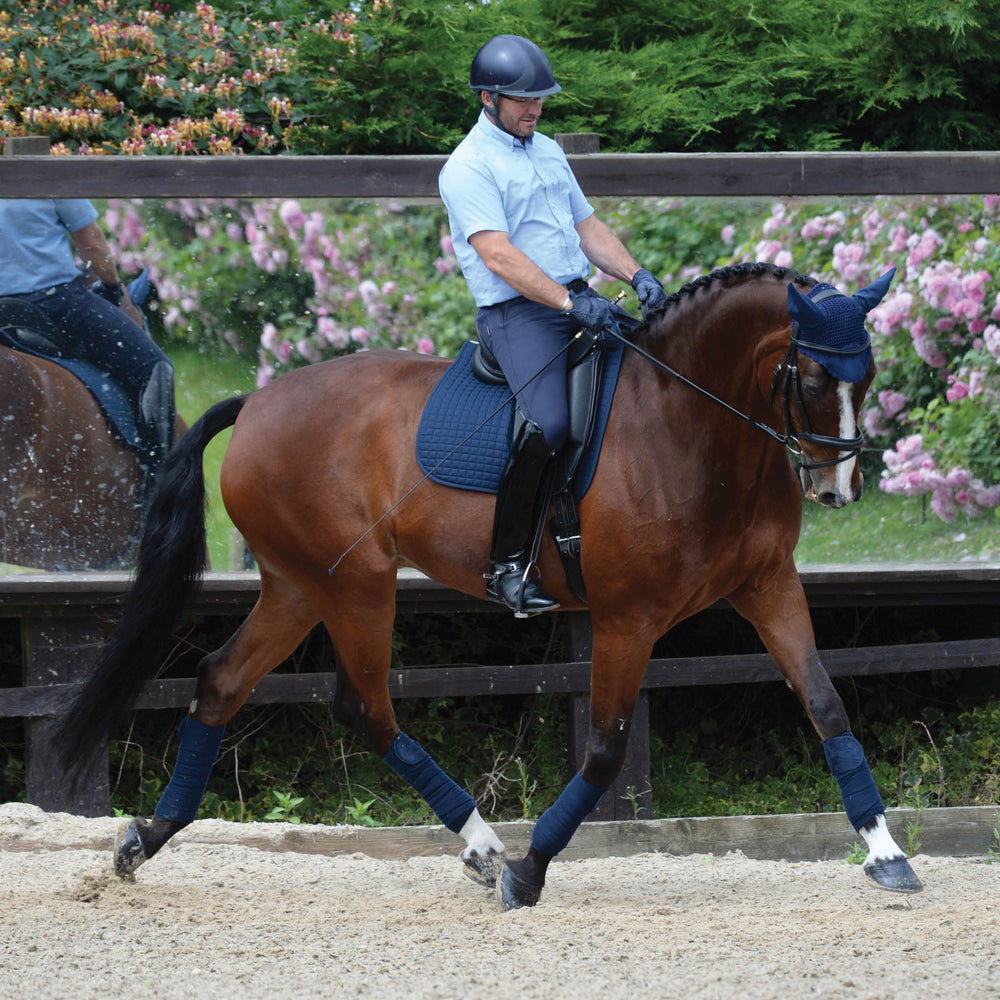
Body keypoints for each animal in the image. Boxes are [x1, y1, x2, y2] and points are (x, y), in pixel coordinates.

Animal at [54, 262, 916, 912]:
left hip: (300, 586)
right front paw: (528, 873)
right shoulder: (627, 618)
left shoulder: (769, 585)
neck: (687, 422)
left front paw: (886, 853)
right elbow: (605, 750)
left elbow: (827, 706)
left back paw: (144, 838)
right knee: (363, 706)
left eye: (869, 375)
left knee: (222, 681)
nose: (840, 490)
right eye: (811, 377)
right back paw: (483, 844)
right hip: (359, 585)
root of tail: (259, 400)